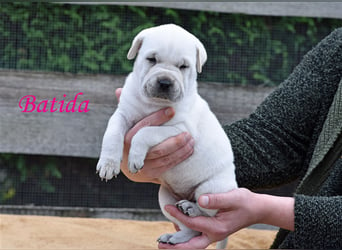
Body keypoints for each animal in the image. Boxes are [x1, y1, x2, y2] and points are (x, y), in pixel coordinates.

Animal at [96, 24, 238, 245]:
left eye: (184, 66)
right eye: (151, 59)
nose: (164, 82)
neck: (154, 104)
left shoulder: (180, 129)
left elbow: (145, 131)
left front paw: (135, 157)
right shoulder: (123, 113)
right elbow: (112, 133)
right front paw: (108, 164)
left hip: (212, 189)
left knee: (207, 215)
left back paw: (192, 208)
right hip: (165, 198)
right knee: (193, 228)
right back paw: (175, 236)